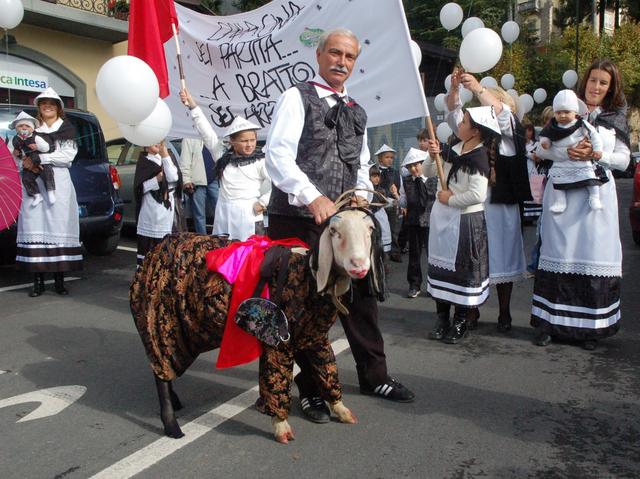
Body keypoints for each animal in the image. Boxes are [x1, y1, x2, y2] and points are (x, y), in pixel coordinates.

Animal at [129, 208, 380, 444]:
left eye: (370, 230)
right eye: (335, 232)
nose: (359, 265)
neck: (307, 278)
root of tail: (155, 250)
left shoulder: (315, 336)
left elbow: (327, 369)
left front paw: (341, 409)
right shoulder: (278, 343)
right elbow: (277, 379)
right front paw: (281, 427)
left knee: (163, 369)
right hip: (160, 323)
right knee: (161, 370)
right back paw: (171, 424)